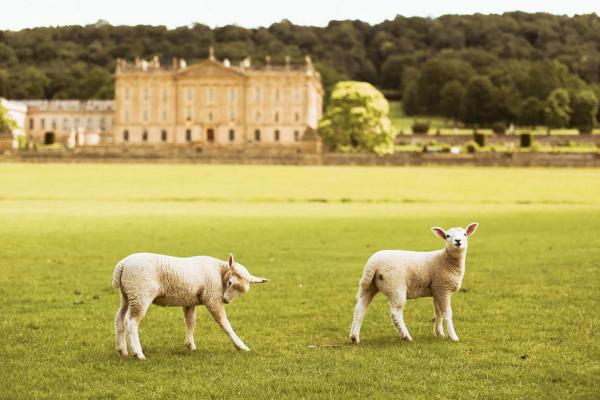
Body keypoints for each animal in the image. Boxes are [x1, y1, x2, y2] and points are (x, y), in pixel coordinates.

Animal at [112, 253, 270, 360]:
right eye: (230, 282)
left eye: (243, 291)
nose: (225, 300)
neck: (219, 272)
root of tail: (122, 265)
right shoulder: (212, 297)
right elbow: (225, 324)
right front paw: (241, 346)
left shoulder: (189, 301)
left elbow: (190, 321)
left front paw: (190, 345)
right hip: (140, 293)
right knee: (131, 321)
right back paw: (138, 353)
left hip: (127, 294)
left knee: (119, 318)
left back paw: (122, 350)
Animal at [350, 222, 480, 344]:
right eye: (447, 236)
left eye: (465, 234)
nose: (458, 241)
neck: (445, 260)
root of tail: (373, 263)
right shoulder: (443, 288)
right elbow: (447, 313)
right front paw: (453, 337)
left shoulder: (437, 290)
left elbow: (438, 313)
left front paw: (439, 333)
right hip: (395, 286)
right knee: (395, 313)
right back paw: (406, 336)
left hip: (368, 286)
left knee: (360, 308)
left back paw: (354, 337)